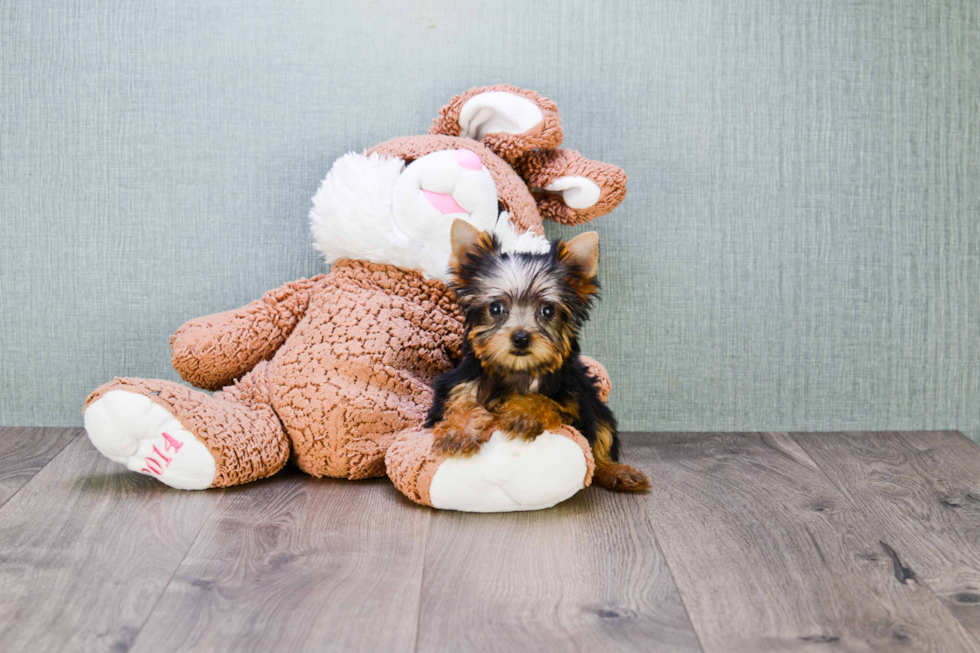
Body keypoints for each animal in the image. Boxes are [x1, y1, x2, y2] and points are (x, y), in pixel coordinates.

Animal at [426, 219, 652, 488]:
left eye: (547, 310)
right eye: (495, 308)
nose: (521, 337)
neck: (518, 371)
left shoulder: (575, 399)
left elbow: (548, 401)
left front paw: (523, 413)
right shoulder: (459, 383)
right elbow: (460, 403)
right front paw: (458, 431)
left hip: (597, 407)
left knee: (601, 437)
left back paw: (617, 472)